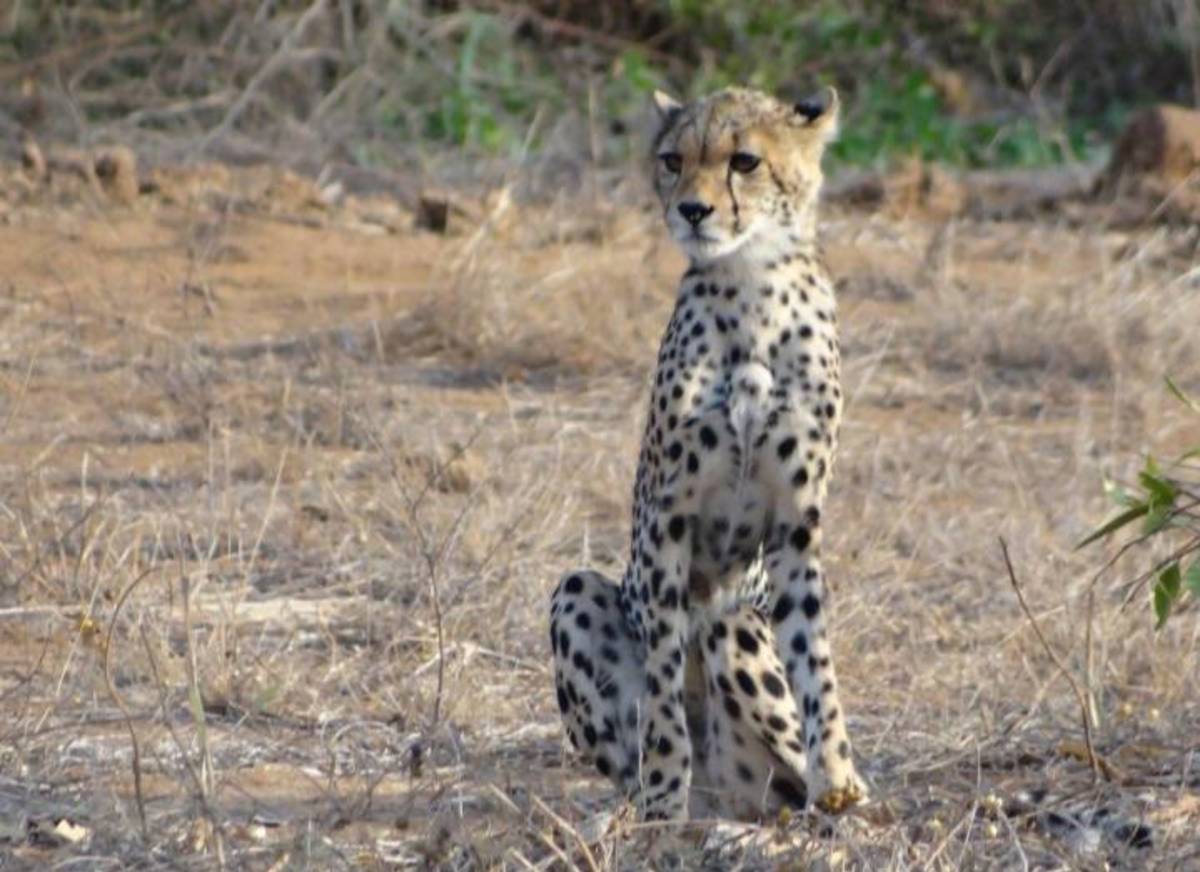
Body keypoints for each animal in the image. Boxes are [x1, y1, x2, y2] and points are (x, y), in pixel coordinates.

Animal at [548, 85, 867, 823]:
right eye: (672, 159)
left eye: (744, 161)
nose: (693, 209)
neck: (752, 286)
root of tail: (722, 794)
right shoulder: (668, 522)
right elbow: (663, 679)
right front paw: (665, 789)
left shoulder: (796, 524)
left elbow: (816, 656)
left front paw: (839, 774)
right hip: (575, 592)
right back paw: (651, 801)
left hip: (738, 629)